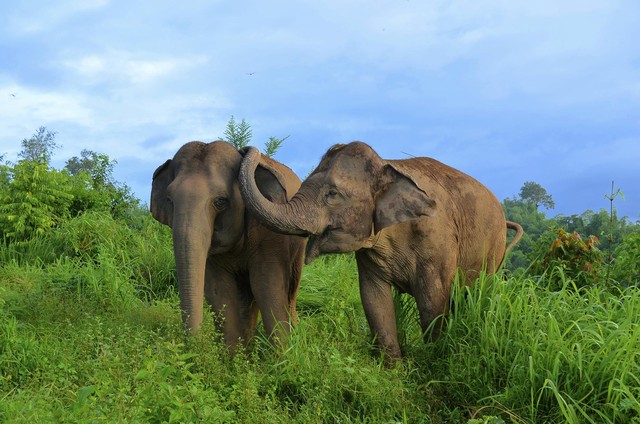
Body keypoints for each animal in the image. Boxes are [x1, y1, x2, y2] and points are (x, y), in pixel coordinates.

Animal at [150, 141, 305, 349]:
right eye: (170, 201)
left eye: (220, 201)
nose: (194, 346)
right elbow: (220, 291)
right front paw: (234, 356)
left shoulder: (270, 235)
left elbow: (267, 285)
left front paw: (284, 354)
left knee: (290, 288)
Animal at [239, 141, 523, 361]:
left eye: (333, 193)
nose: (246, 149)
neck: (390, 165)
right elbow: (373, 298)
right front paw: (392, 369)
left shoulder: (438, 242)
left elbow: (433, 302)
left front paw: (434, 361)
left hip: (494, 248)